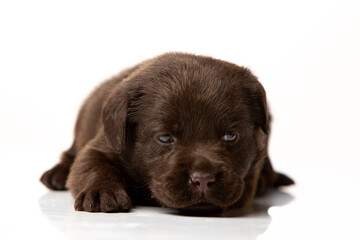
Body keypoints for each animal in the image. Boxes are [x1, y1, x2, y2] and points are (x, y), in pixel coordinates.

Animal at [40, 52, 292, 214]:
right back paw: (56, 174)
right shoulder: (104, 146)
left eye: (231, 136)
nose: (203, 179)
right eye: (165, 138)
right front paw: (101, 192)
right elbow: (91, 166)